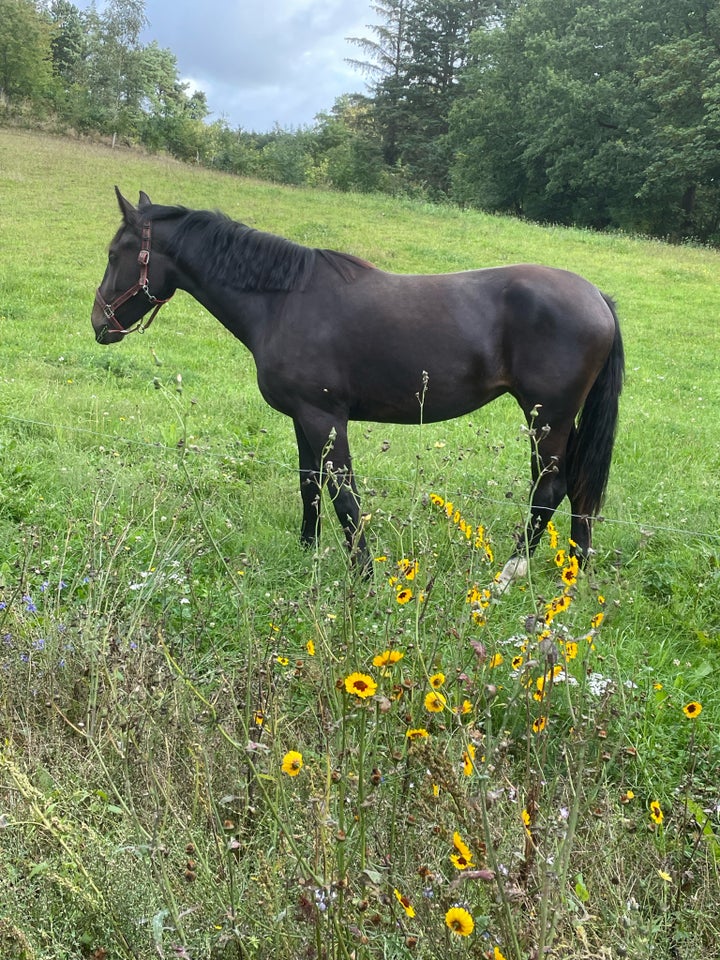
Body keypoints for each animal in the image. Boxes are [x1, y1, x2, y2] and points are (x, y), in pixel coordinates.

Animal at [93, 185, 624, 580]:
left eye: (116, 253)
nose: (99, 323)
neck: (283, 301)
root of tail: (598, 296)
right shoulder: (301, 418)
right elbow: (309, 483)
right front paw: (307, 550)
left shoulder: (325, 417)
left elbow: (344, 495)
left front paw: (364, 572)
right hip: (559, 420)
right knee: (575, 485)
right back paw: (574, 567)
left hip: (547, 417)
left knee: (549, 489)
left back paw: (510, 573)